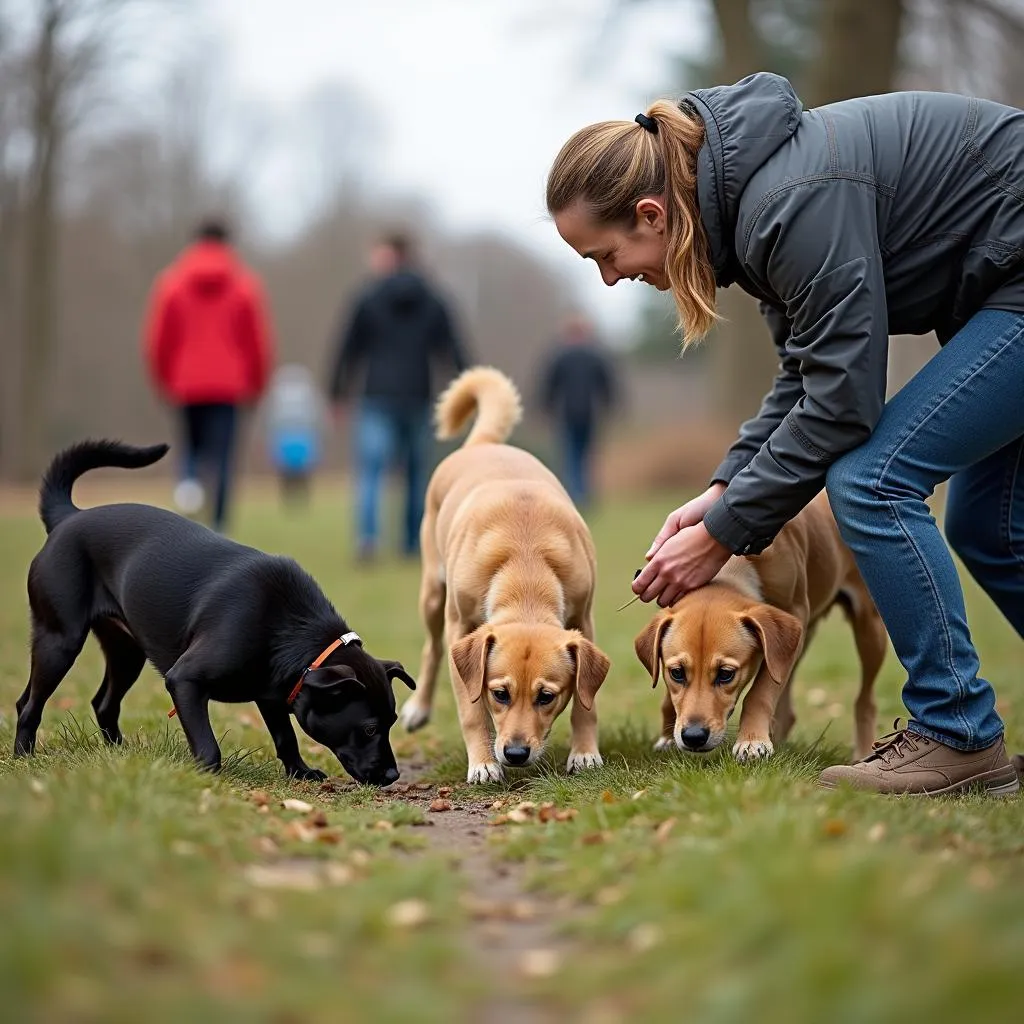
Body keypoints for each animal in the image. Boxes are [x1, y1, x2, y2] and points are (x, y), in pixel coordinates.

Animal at [14, 440, 413, 782]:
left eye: (392, 721)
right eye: (369, 728)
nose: (393, 775)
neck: (290, 627)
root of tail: (68, 517)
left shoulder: (271, 695)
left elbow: (285, 737)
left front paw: (299, 771)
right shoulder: (185, 681)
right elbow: (208, 747)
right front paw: (206, 779)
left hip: (126, 651)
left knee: (98, 703)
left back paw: (118, 754)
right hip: (60, 640)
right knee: (30, 705)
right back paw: (23, 758)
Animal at [397, 368, 606, 782]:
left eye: (546, 696)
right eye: (500, 694)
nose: (515, 753)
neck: (526, 568)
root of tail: (483, 443)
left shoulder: (583, 619)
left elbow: (585, 704)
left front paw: (584, 753)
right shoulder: (461, 631)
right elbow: (471, 711)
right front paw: (483, 763)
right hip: (433, 593)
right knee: (431, 649)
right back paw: (418, 709)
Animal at [634, 491, 884, 765]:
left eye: (726, 674)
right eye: (676, 673)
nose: (694, 736)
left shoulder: (793, 617)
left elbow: (762, 691)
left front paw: (752, 741)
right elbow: (669, 696)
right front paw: (668, 737)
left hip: (869, 628)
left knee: (866, 699)